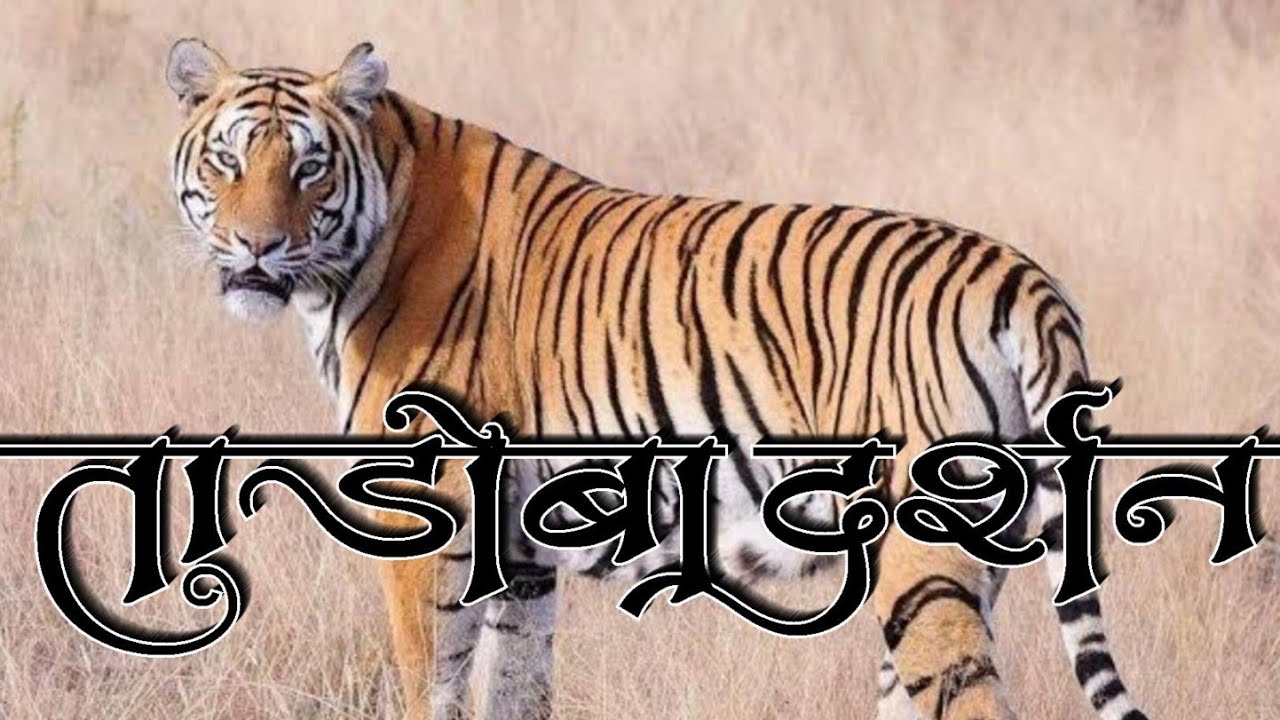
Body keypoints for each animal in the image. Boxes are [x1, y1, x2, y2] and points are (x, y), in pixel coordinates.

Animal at [165, 39, 1149, 720]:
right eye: (228, 161)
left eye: (308, 165)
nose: (256, 247)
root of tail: (1021, 276)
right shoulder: (519, 549)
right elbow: (515, 688)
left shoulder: (426, 516)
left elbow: (429, 683)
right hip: (979, 557)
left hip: (923, 549)